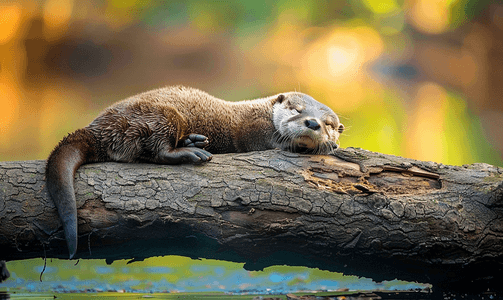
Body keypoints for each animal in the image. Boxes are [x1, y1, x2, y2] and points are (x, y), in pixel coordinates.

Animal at [45, 85, 344, 258]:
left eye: (329, 123)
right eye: (296, 110)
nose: (313, 123)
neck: (261, 112)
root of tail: (98, 127)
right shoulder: (253, 128)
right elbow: (269, 141)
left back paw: (194, 141)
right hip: (160, 116)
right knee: (157, 149)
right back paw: (190, 151)